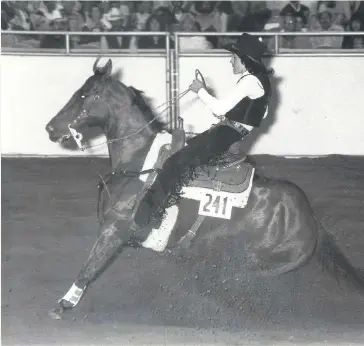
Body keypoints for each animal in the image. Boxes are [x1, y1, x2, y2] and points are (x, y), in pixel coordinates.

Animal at [45, 58, 364, 324]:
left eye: (85, 95)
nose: (50, 129)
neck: (138, 161)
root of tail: (312, 220)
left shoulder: (114, 230)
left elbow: (89, 267)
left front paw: (63, 304)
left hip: (259, 264)